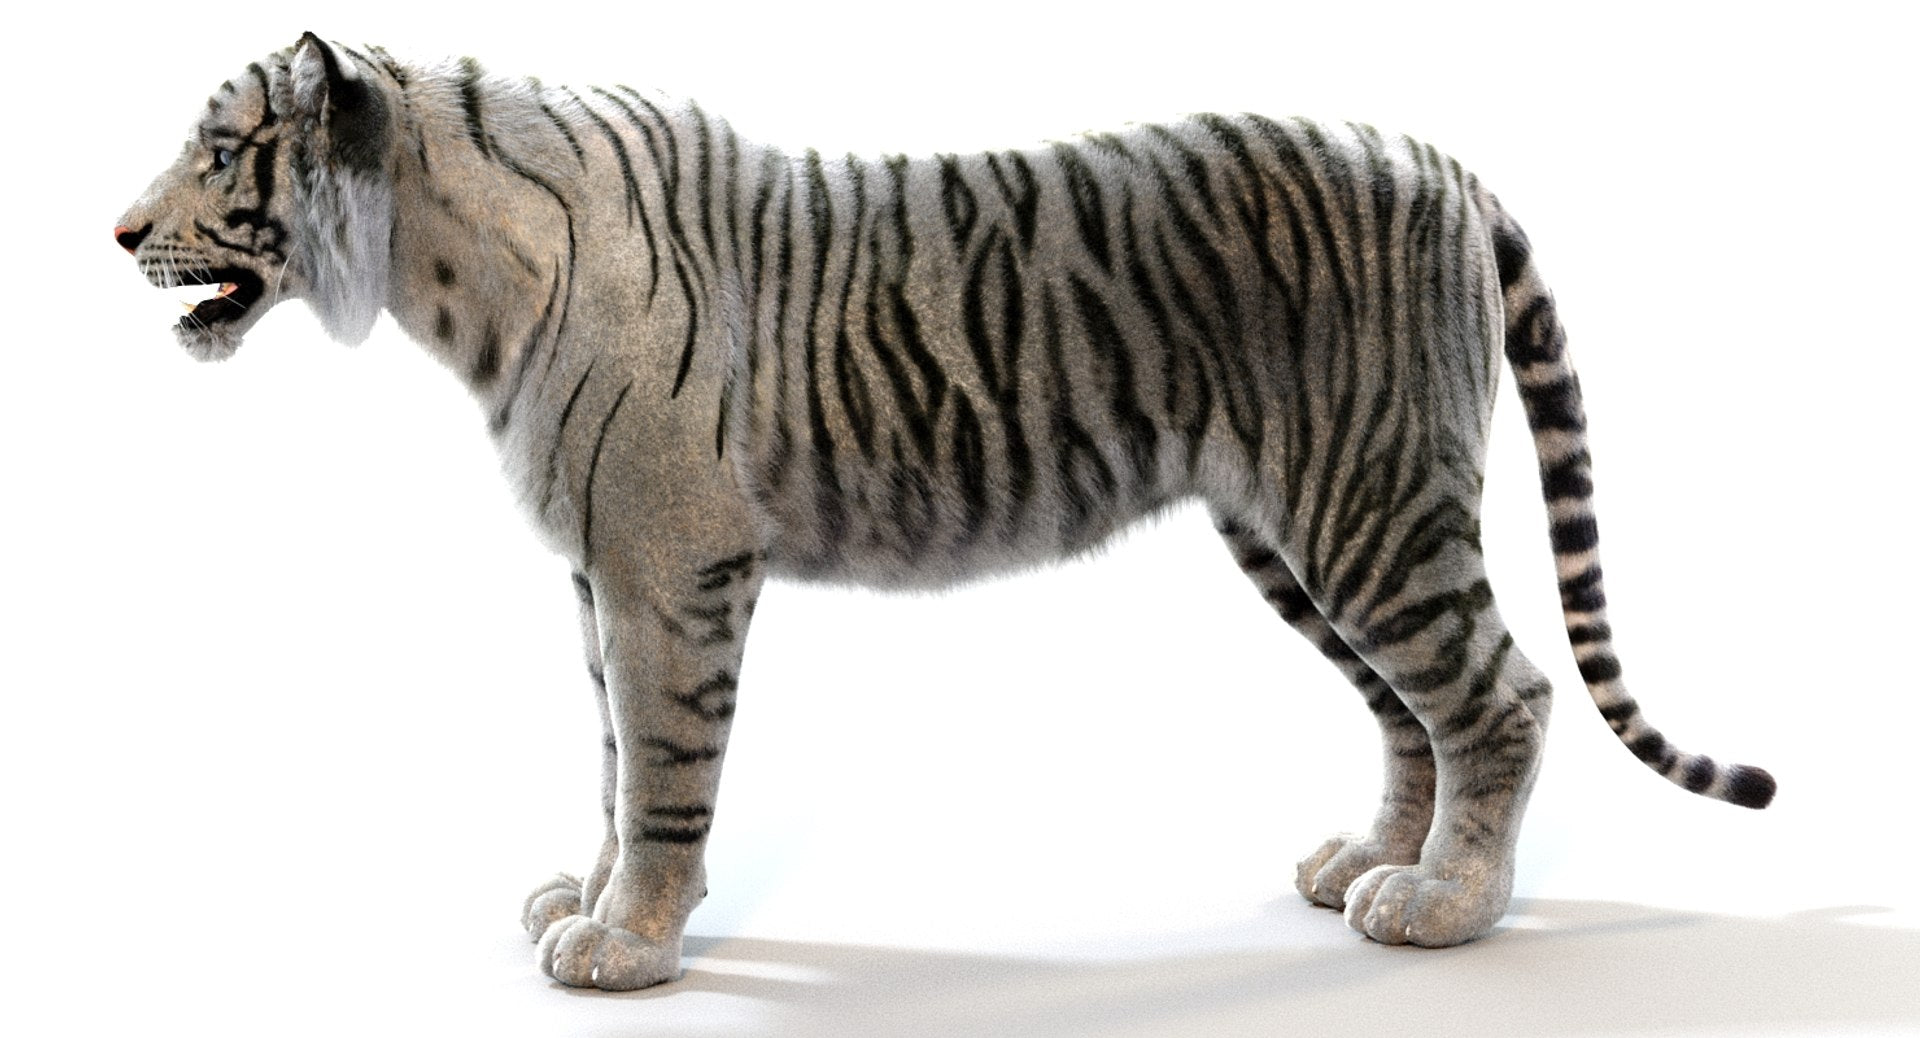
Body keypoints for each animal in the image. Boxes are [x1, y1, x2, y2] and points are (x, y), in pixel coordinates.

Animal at [115, 33, 1775, 991]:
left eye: (219, 151)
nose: (119, 230)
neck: (443, 273)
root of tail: (1439, 158)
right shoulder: (599, 579)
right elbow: (607, 763)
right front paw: (581, 896)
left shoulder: (668, 567)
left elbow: (662, 771)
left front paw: (630, 940)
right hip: (1296, 529)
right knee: (1406, 709)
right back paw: (1370, 864)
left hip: (1366, 505)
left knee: (1498, 693)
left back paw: (1446, 904)